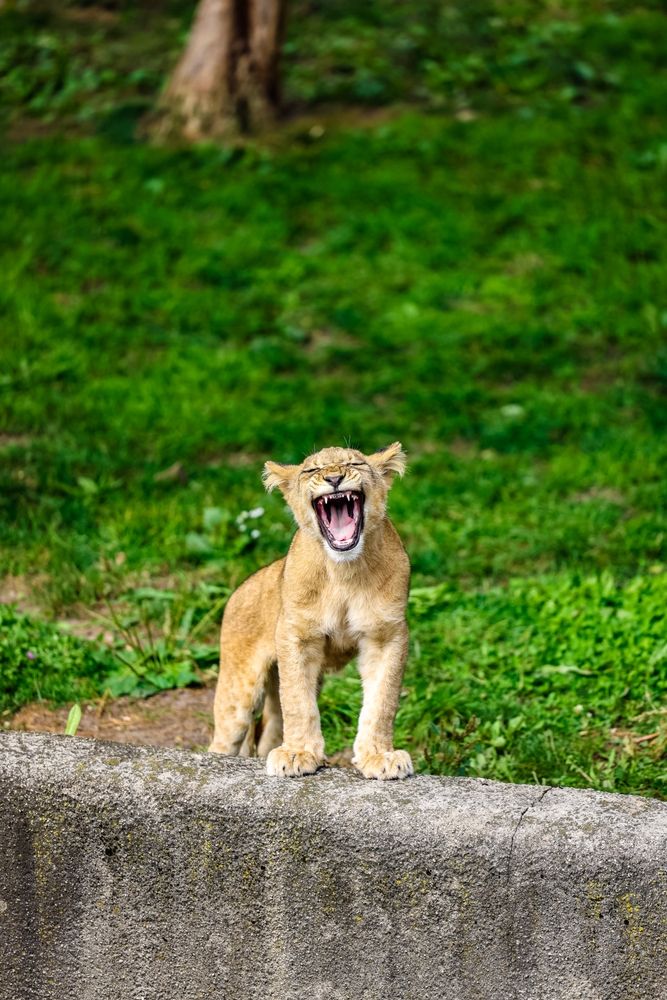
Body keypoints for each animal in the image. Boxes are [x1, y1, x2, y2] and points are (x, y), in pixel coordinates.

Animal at [209, 442, 413, 779]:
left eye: (355, 463)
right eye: (311, 470)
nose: (334, 478)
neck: (343, 572)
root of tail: (241, 588)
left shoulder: (386, 635)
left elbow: (382, 701)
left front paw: (378, 755)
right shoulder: (297, 636)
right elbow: (298, 703)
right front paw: (298, 753)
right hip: (238, 692)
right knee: (224, 739)